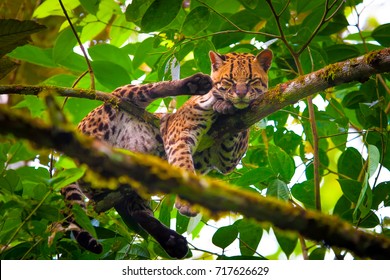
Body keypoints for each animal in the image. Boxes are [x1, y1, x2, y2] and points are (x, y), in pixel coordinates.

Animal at [62, 48, 272, 258]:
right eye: (229, 81)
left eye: (252, 80)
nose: (240, 94)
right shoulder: (177, 132)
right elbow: (184, 164)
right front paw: (217, 98)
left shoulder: (227, 158)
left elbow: (239, 127)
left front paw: (228, 105)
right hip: (116, 100)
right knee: (149, 89)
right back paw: (195, 84)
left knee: (138, 211)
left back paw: (173, 242)